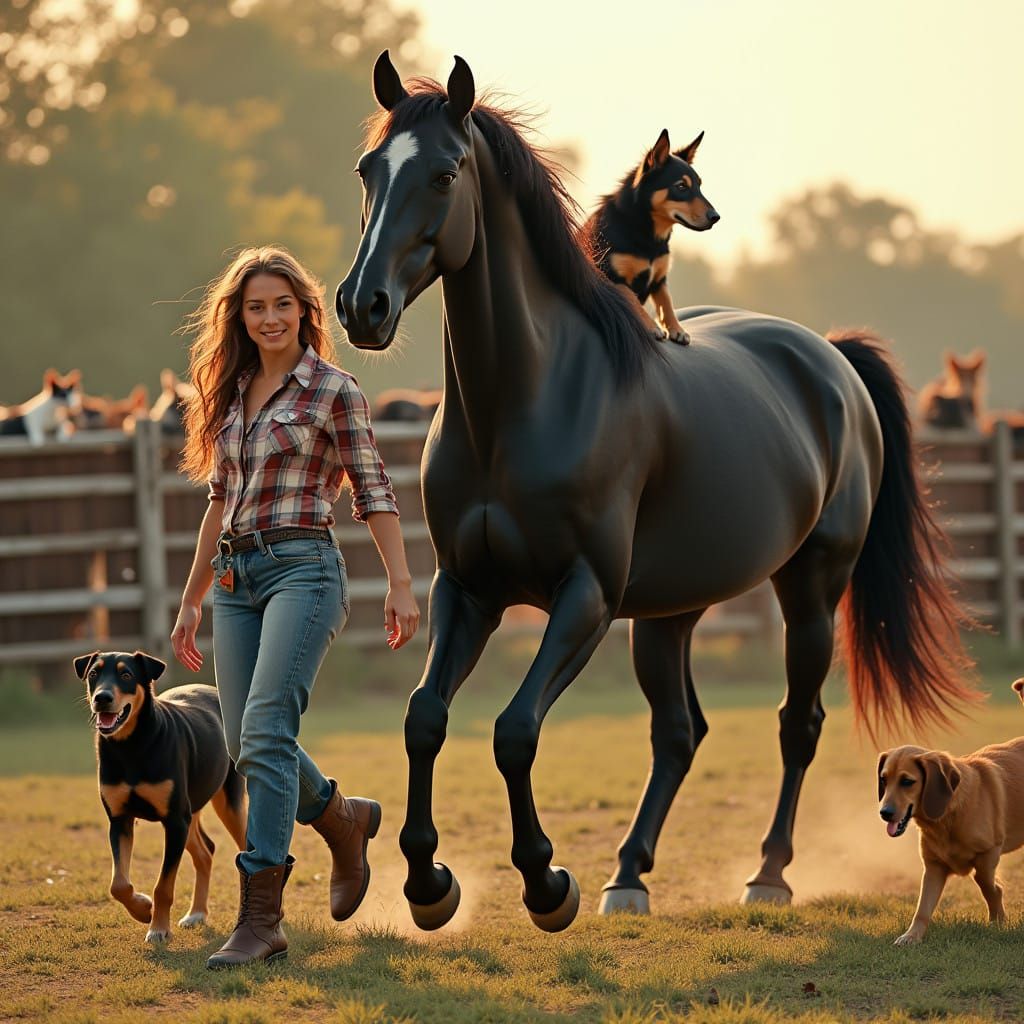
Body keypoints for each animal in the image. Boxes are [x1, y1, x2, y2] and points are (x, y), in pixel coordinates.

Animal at [336, 52, 980, 933]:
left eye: (443, 173)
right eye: (369, 170)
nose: (360, 307)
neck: (526, 402)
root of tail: (829, 356)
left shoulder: (585, 596)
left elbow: (514, 730)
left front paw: (546, 884)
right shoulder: (466, 590)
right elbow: (425, 718)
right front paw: (429, 884)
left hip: (812, 589)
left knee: (797, 724)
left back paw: (767, 874)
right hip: (672, 610)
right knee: (680, 733)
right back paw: (628, 876)